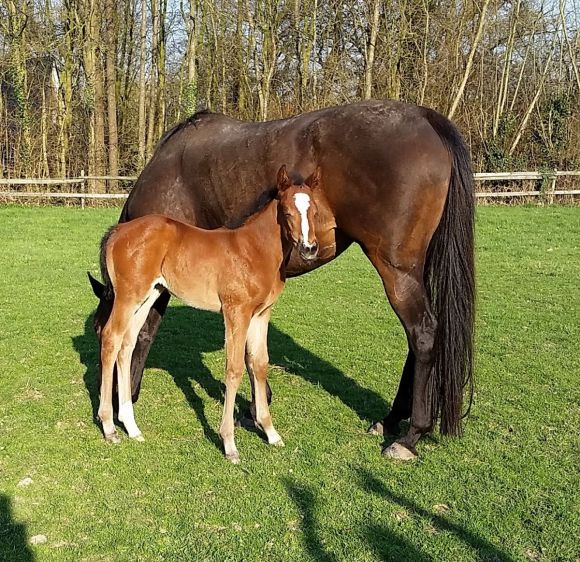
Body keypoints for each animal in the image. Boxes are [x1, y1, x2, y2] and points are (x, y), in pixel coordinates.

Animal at [97, 164, 320, 462]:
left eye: (315, 210)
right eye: (286, 211)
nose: (309, 249)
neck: (254, 250)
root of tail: (118, 230)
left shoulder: (261, 315)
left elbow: (260, 364)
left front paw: (271, 433)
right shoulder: (236, 312)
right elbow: (234, 369)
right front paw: (229, 444)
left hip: (149, 295)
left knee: (127, 344)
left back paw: (132, 427)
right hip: (127, 296)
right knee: (111, 338)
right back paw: (109, 427)